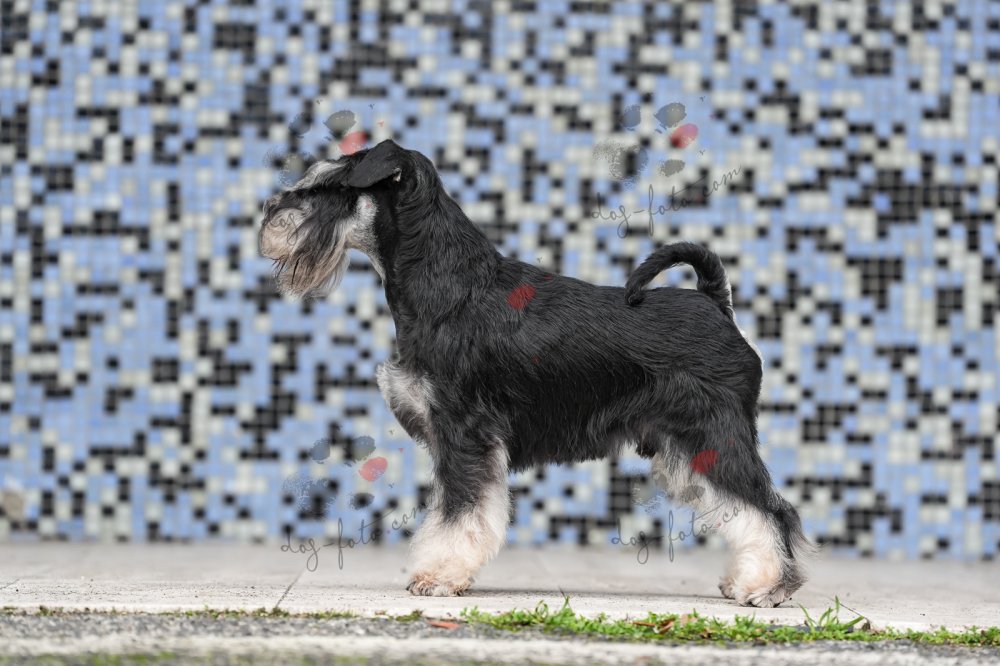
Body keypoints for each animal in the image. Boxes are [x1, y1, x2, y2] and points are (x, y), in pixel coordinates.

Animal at [258, 139, 813, 607]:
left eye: (331, 186)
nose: (268, 211)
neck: (446, 284)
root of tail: (716, 304)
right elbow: (452, 510)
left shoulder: (464, 433)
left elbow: (460, 513)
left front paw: (438, 577)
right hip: (686, 449)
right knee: (743, 508)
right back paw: (745, 580)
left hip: (714, 438)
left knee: (771, 509)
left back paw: (768, 588)